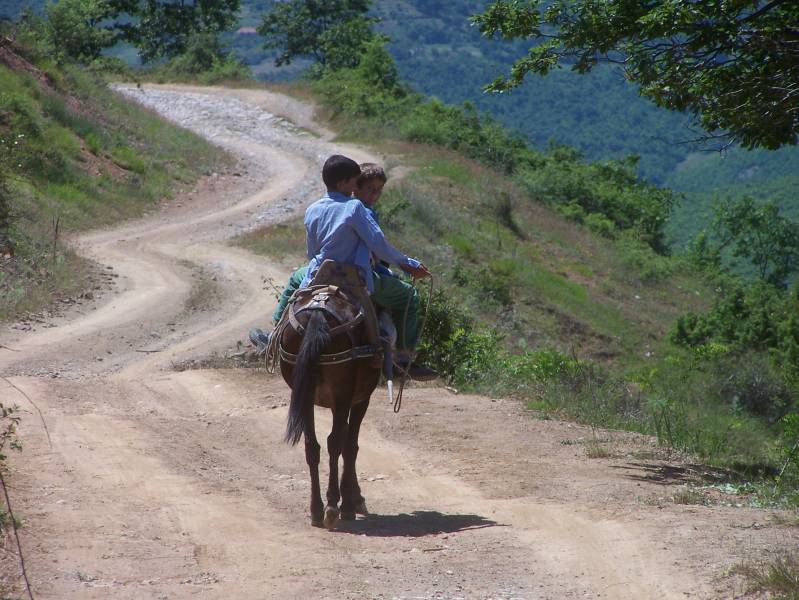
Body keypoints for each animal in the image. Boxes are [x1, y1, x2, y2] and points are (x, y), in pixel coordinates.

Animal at [276, 284, 382, 528]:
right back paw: (334, 506)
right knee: (334, 443)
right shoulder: (359, 399)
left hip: (306, 393)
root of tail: (318, 311)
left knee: (312, 446)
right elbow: (350, 446)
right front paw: (352, 502)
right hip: (343, 393)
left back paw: (316, 509)